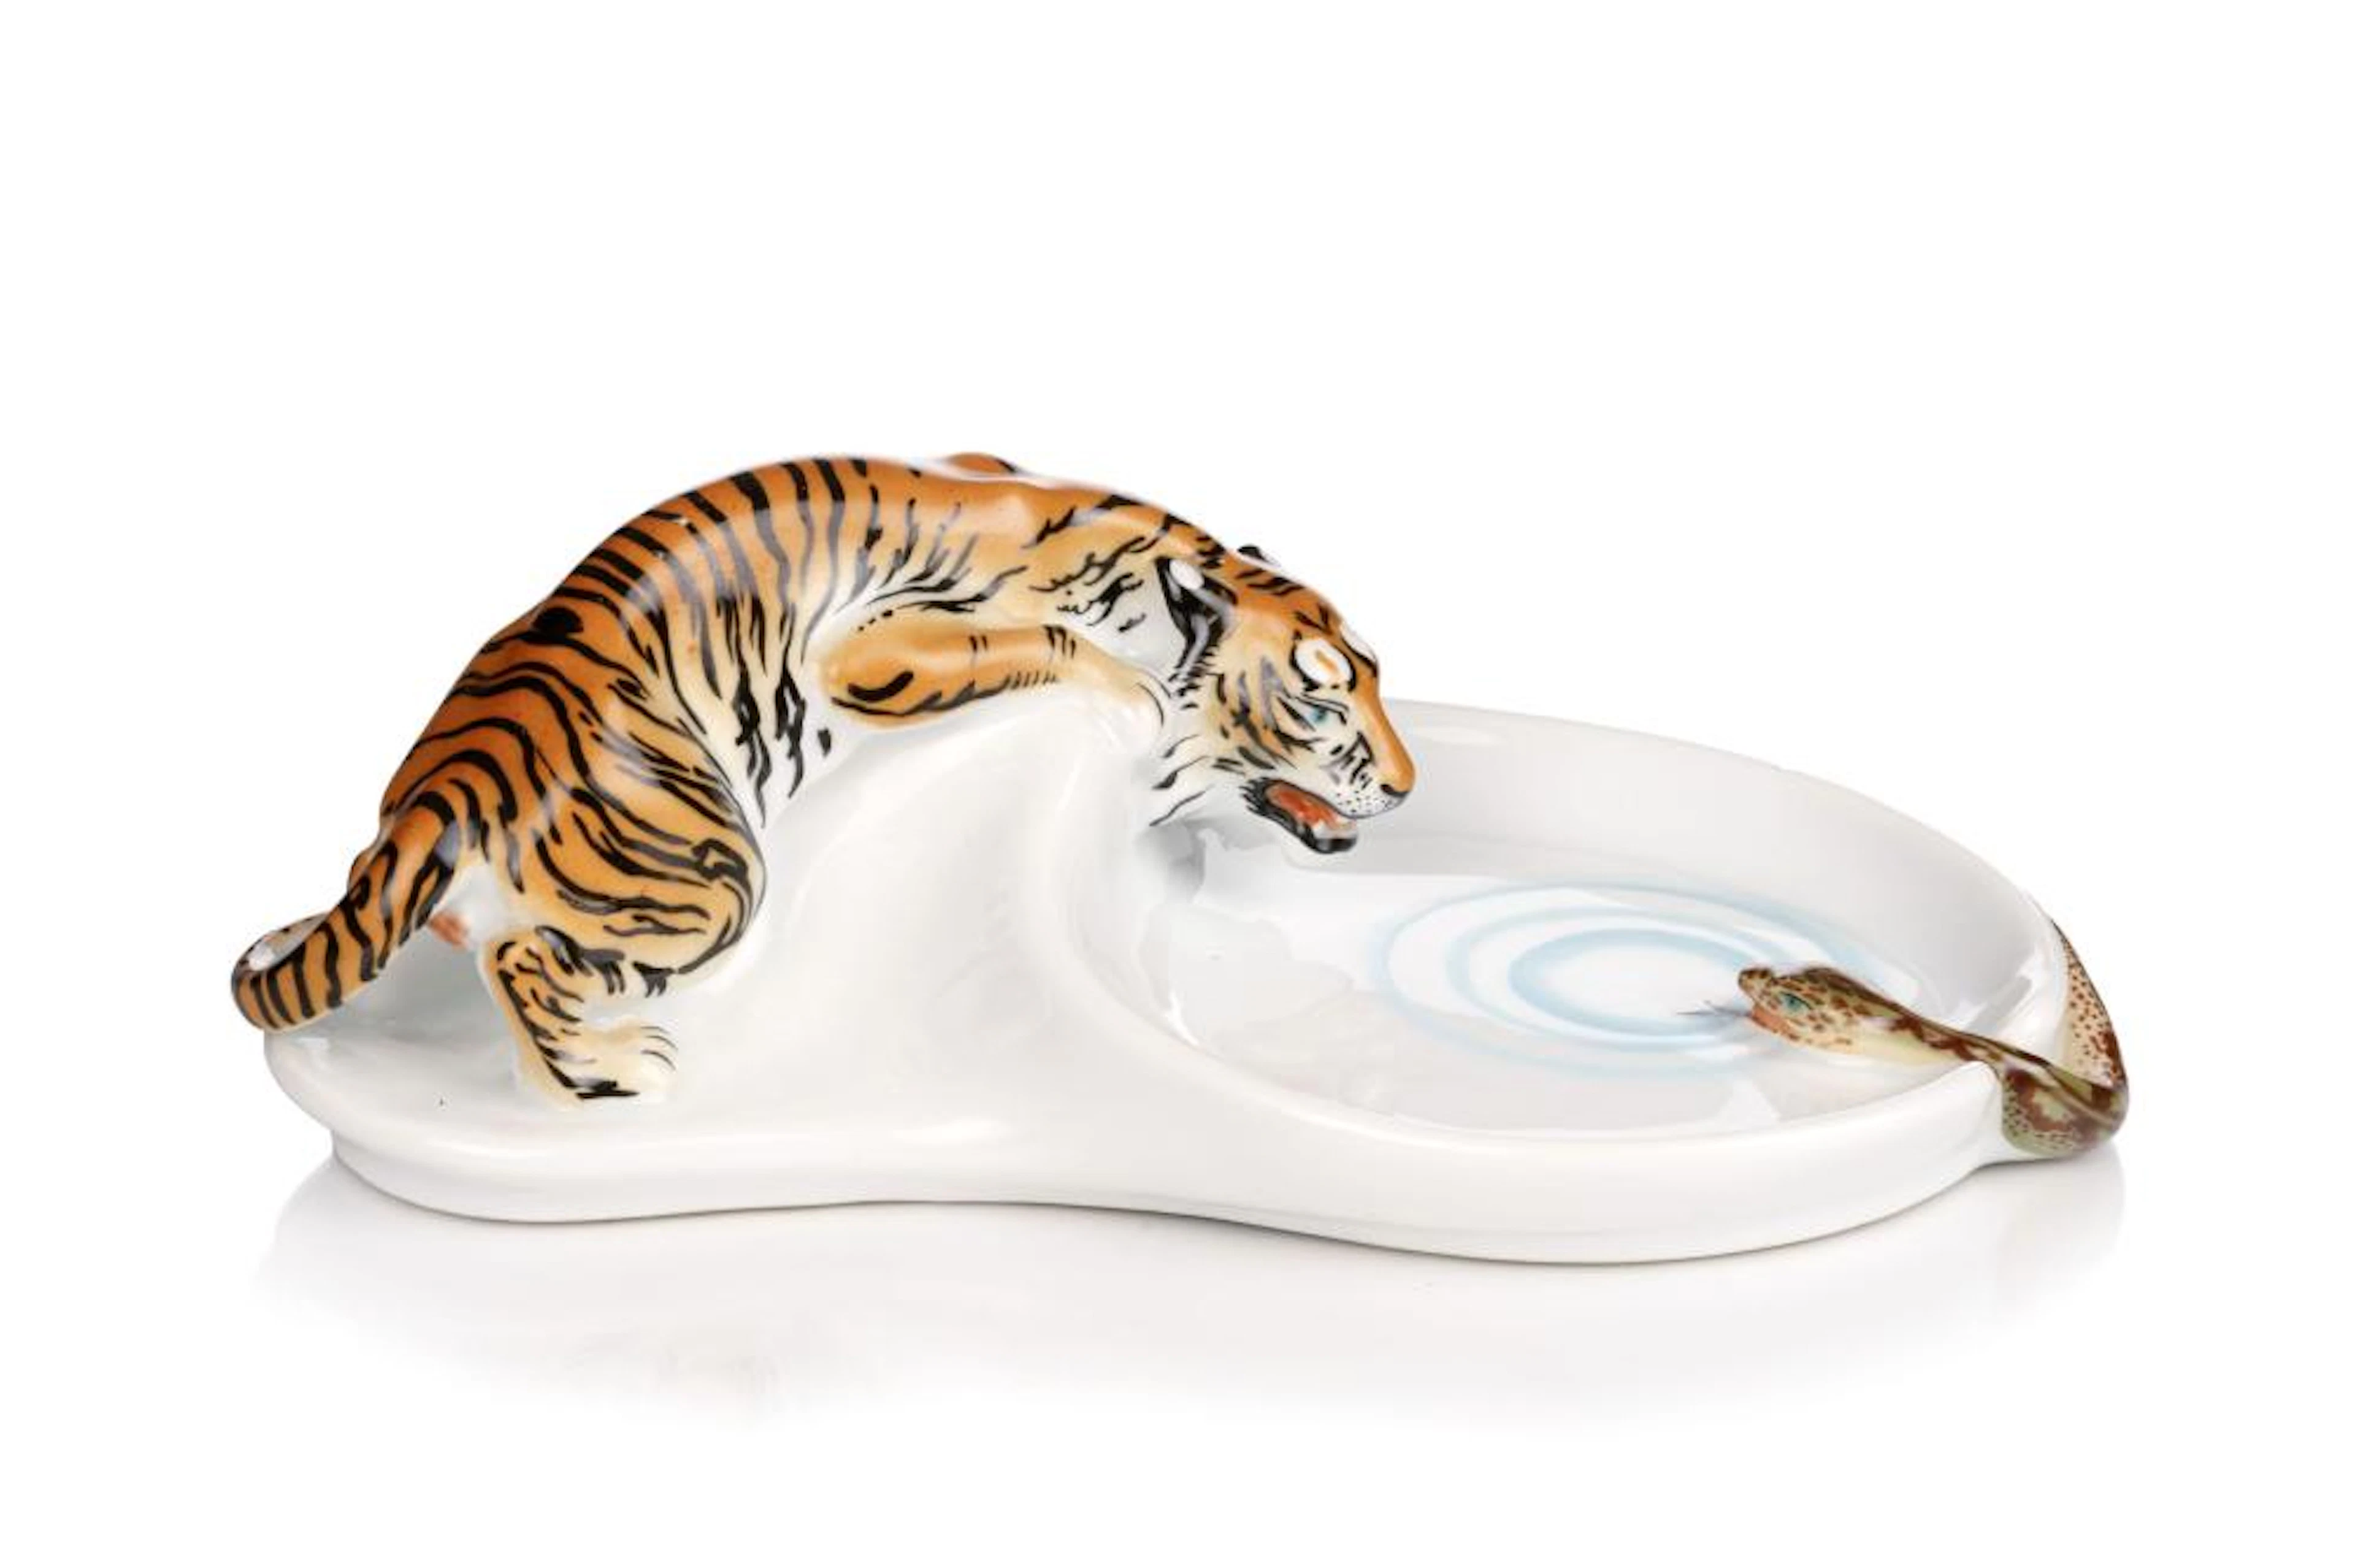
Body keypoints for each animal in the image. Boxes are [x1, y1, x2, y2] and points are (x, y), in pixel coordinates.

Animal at [230, 454, 1415, 1102]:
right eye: (1320, 702)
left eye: (1375, 674)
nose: (1407, 786)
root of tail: (447, 784)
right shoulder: (877, 646)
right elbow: (1040, 642)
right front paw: (1126, 690)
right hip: (712, 877)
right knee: (524, 960)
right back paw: (619, 1075)